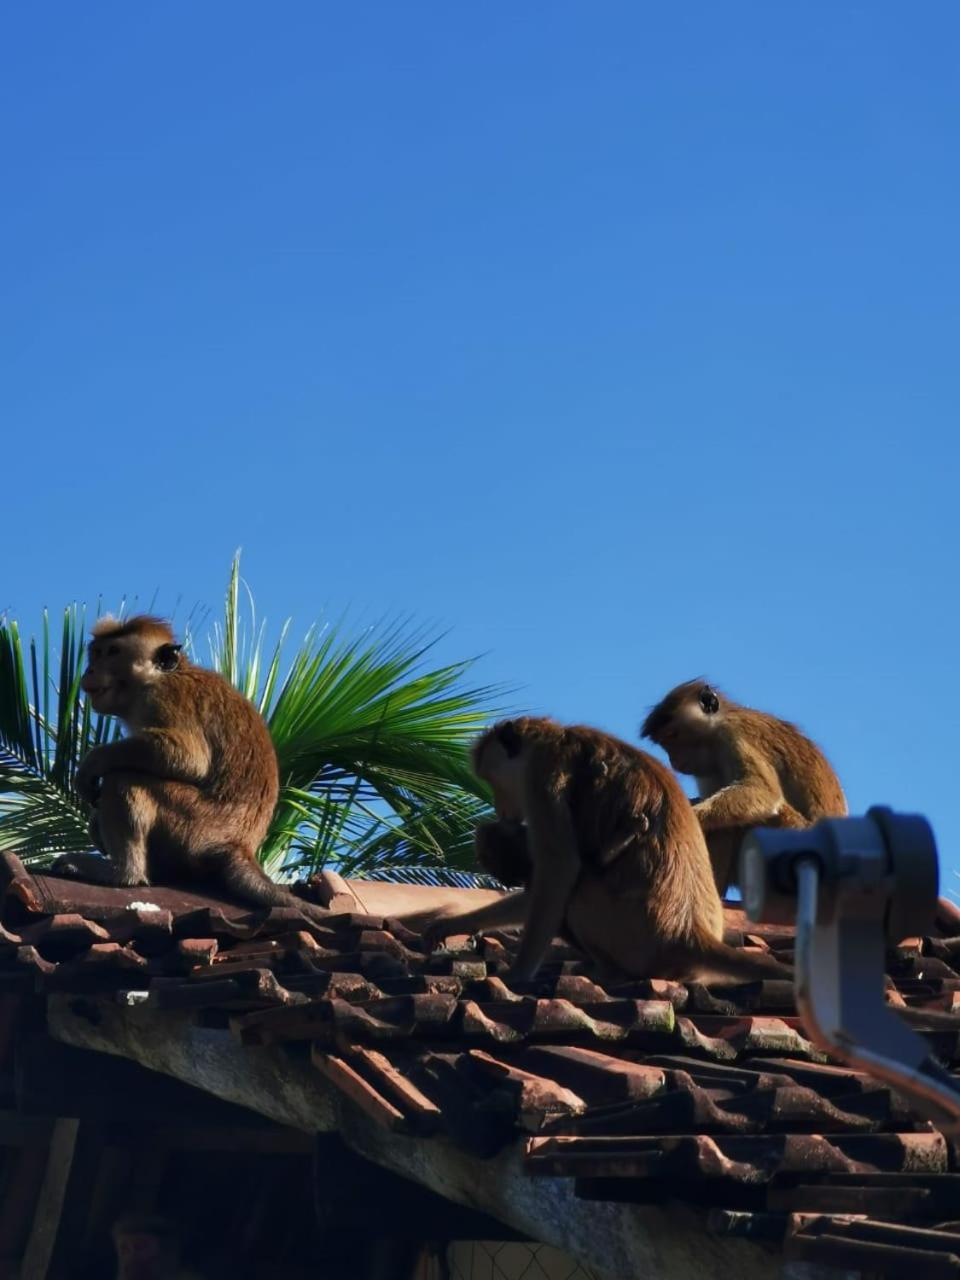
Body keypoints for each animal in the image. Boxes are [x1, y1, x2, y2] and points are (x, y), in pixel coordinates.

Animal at [53, 614, 330, 926]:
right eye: (97, 652)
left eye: (113, 652)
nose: (90, 669)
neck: (164, 675)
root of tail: (238, 845)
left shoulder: (165, 698)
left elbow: (188, 757)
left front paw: (93, 763)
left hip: (195, 827)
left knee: (124, 779)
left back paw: (122, 873)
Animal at [394, 716, 793, 983]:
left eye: (493, 781)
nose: (501, 807)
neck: (555, 739)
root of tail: (688, 935)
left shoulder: (542, 775)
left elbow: (559, 870)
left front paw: (518, 974)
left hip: (630, 937)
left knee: (577, 890)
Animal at [642, 680, 844, 901]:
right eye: (665, 743)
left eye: (673, 736)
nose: (673, 760)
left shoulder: (733, 735)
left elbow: (763, 791)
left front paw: (691, 814)